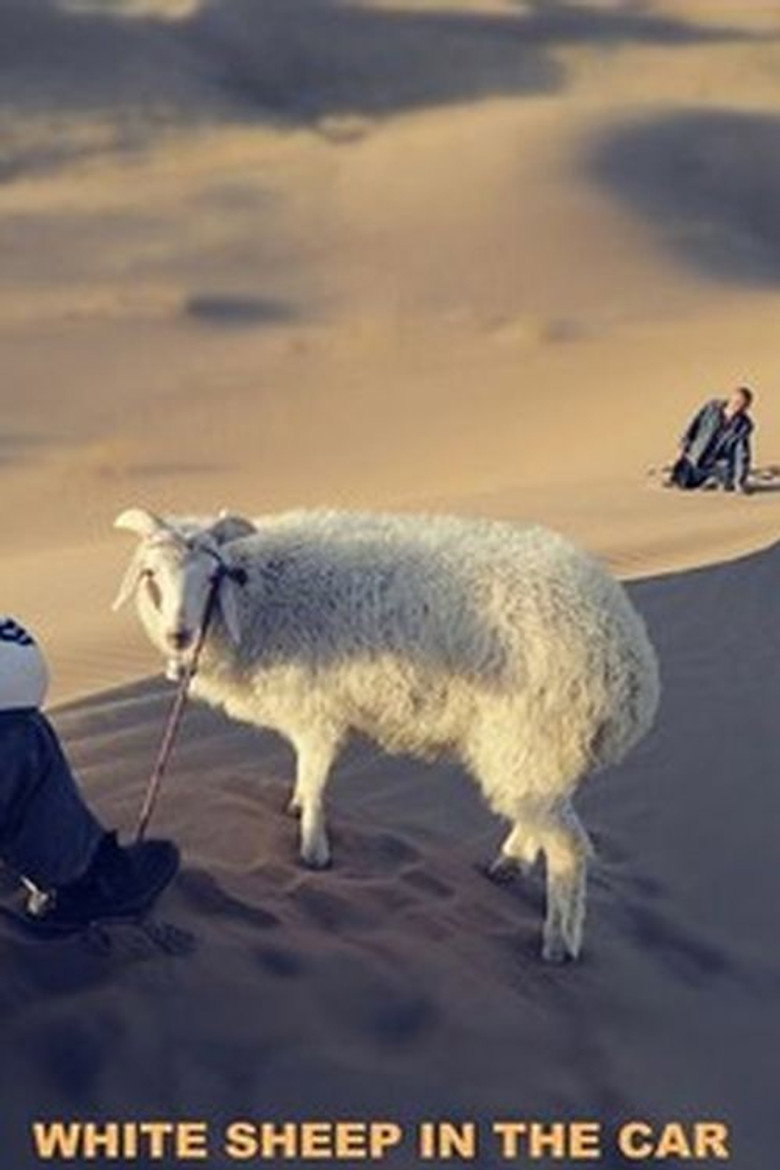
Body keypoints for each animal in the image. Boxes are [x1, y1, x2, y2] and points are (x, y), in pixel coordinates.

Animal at [113, 506, 660, 961]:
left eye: (211, 576)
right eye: (150, 575)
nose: (178, 636)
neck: (259, 599)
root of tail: (629, 661)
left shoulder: (317, 710)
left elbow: (315, 775)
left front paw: (313, 849)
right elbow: (304, 774)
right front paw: (295, 807)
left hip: (531, 736)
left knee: (568, 847)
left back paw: (558, 944)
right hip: (541, 750)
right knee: (542, 816)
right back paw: (509, 863)